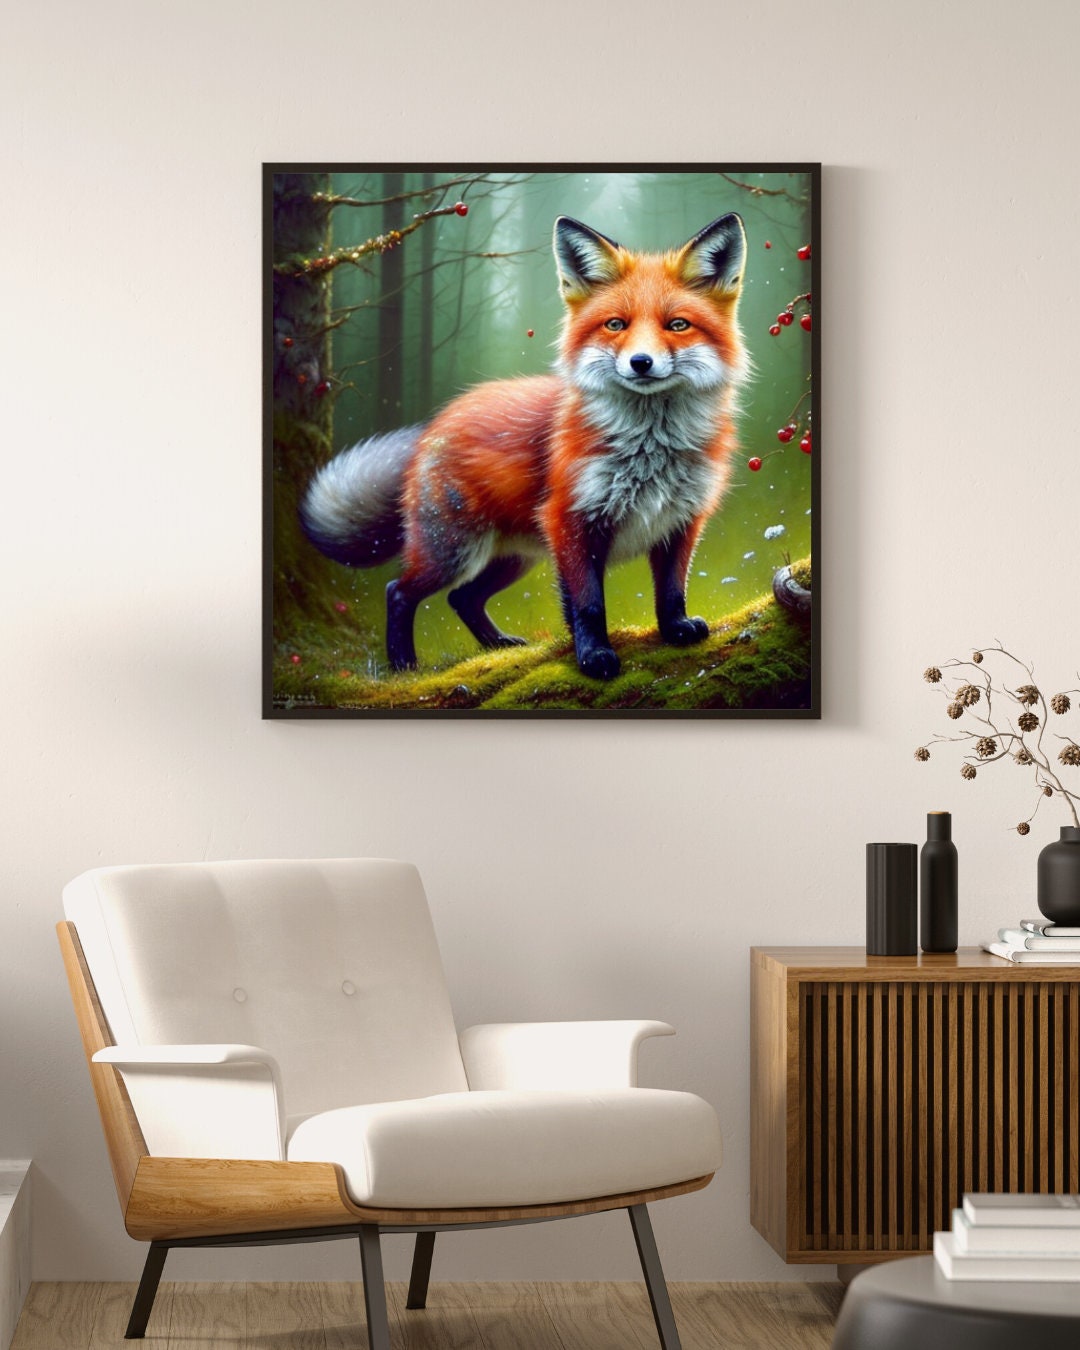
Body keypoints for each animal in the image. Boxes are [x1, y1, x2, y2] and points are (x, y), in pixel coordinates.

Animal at [300, 212, 749, 681]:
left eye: (677, 325)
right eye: (616, 325)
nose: (640, 363)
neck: (649, 453)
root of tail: (438, 421)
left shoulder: (681, 520)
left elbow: (672, 588)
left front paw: (675, 629)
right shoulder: (569, 521)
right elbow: (588, 604)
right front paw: (594, 657)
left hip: (514, 558)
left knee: (462, 597)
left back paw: (497, 646)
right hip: (454, 551)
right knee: (399, 591)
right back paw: (405, 666)